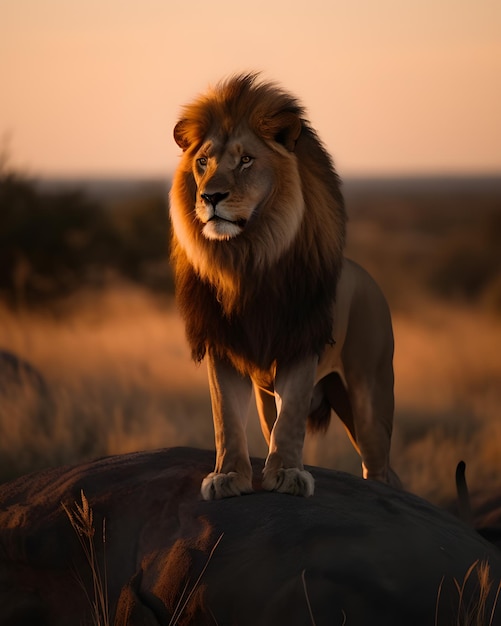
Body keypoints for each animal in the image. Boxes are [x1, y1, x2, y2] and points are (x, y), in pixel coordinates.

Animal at [170, 73, 400, 500]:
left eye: (246, 160)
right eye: (202, 162)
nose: (210, 196)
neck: (246, 259)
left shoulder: (301, 341)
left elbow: (291, 416)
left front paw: (289, 475)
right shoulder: (222, 345)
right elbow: (226, 417)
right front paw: (229, 476)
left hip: (369, 394)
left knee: (380, 467)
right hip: (270, 399)